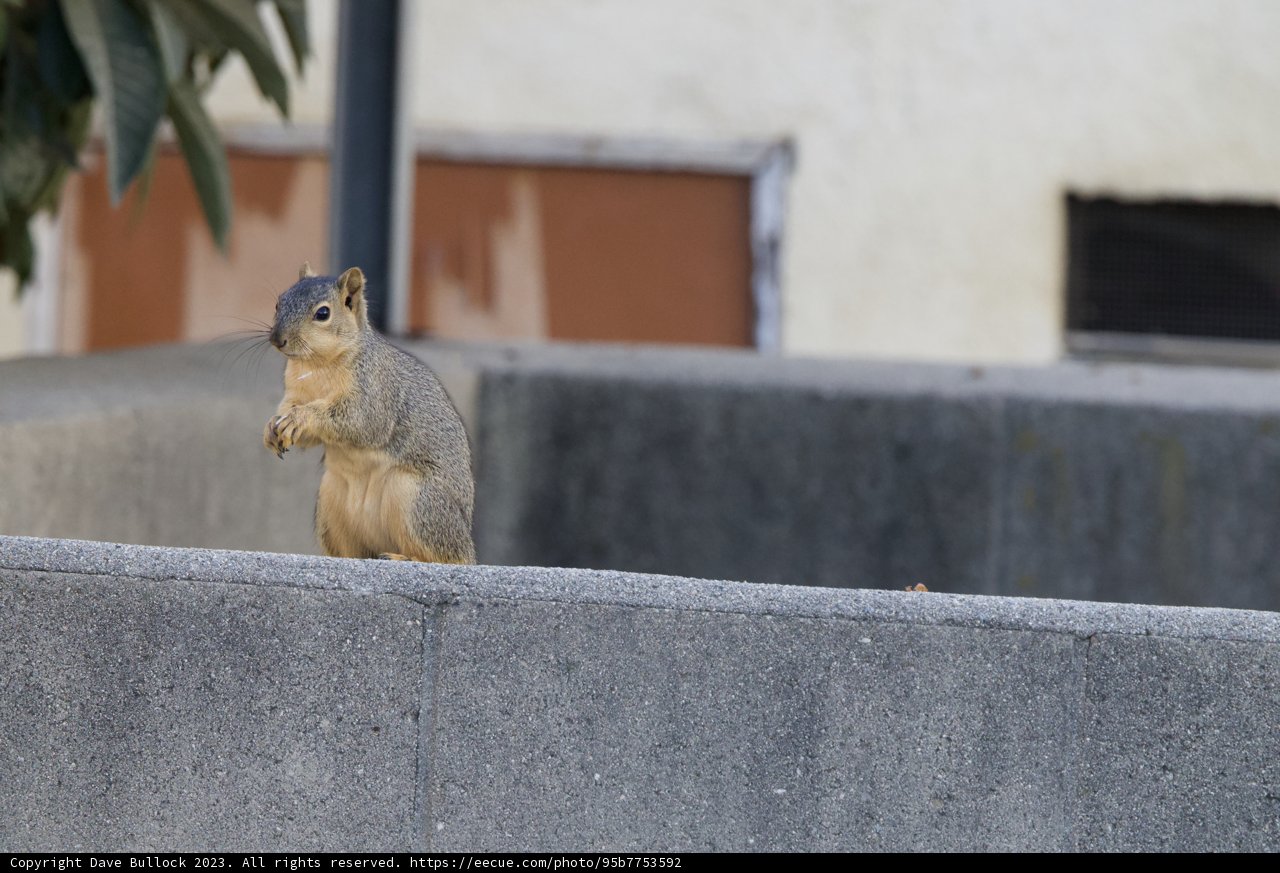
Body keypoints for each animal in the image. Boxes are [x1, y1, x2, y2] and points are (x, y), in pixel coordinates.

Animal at [263, 263, 477, 565]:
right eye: (278, 302)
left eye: (323, 313)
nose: (276, 339)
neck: (317, 365)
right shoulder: (295, 394)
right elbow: (298, 426)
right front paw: (272, 428)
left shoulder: (375, 392)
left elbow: (361, 421)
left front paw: (301, 418)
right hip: (331, 505)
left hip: (416, 499)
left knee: (445, 557)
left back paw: (404, 558)